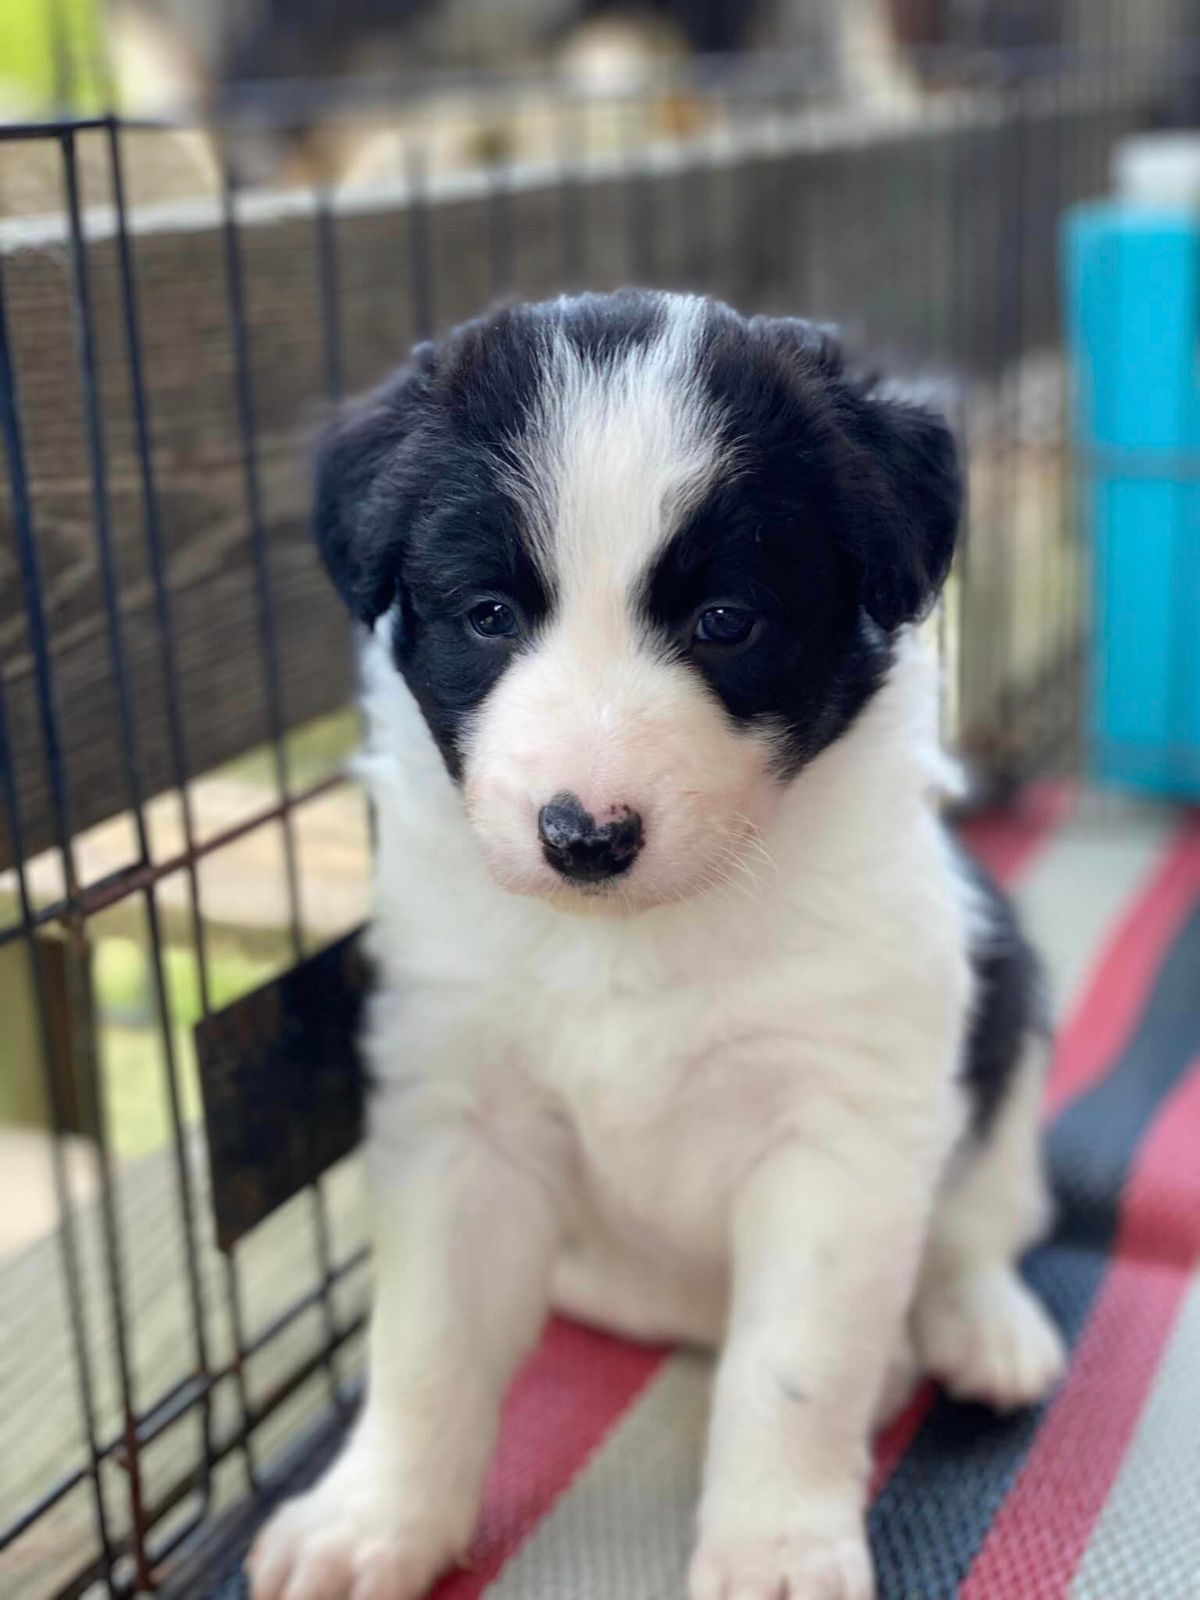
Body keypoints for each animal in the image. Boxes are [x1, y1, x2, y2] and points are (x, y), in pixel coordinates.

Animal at [248, 290, 1065, 1600]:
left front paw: (777, 1547)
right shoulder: (462, 1117)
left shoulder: (842, 1123)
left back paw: (977, 1328)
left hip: (1006, 1012)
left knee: (983, 1216)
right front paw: (372, 1518)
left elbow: (792, 1369)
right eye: (488, 614)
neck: (627, 939)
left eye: (725, 622)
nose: (584, 835)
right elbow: (427, 1344)